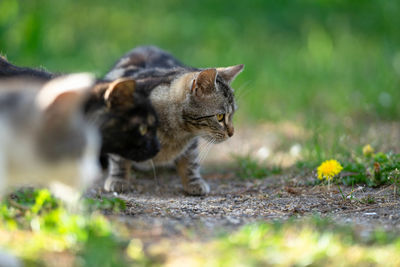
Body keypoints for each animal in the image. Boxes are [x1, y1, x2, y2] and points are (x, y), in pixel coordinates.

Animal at [105, 46, 244, 196]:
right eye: (220, 116)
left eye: (232, 114)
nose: (232, 133)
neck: (175, 132)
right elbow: (118, 160)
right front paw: (118, 179)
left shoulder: (190, 144)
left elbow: (190, 162)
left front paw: (193, 182)